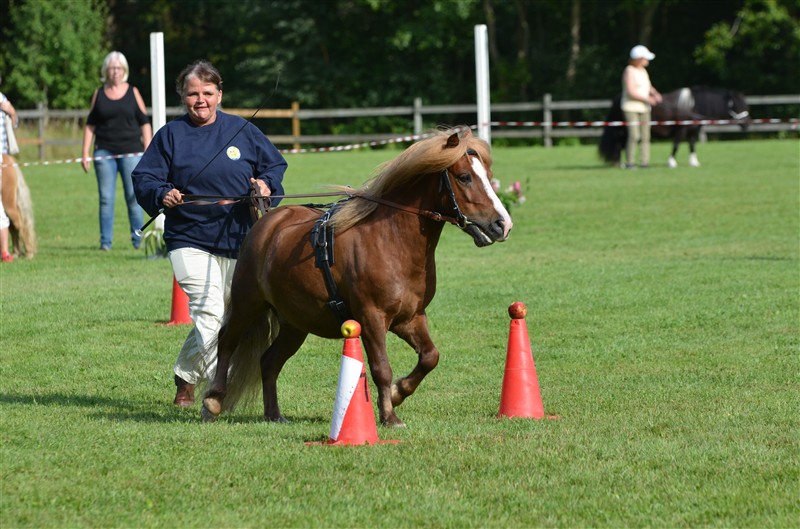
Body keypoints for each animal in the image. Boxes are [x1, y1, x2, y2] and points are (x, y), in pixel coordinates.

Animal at [600, 86, 752, 167]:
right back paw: (620, 163)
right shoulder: (681, 130)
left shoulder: (692, 131)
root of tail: (618, 98)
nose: (747, 123)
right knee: (620, 144)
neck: (692, 106)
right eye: (737, 105)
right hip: (624, 129)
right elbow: (676, 144)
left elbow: (692, 146)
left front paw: (694, 162)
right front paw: (671, 162)